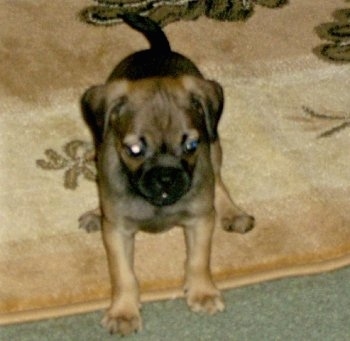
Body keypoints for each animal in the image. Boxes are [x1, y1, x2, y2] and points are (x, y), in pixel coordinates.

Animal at [80, 13, 253, 334]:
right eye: (134, 149)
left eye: (191, 145)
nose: (166, 178)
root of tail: (158, 50)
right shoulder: (118, 232)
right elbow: (124, 275)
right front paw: (124, 311)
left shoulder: (199, 220)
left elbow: (198, 260)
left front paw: (202, 292)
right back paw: (96, 211)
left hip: (216, 147)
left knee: (219, 181)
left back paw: (233, 212)